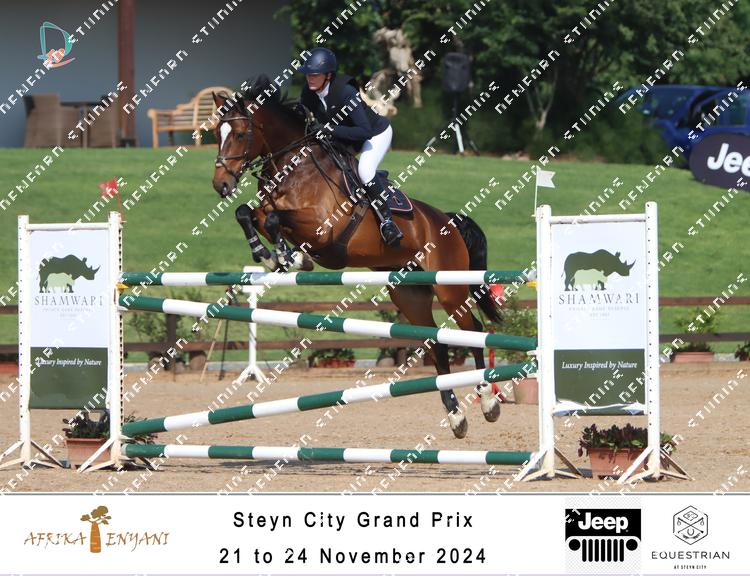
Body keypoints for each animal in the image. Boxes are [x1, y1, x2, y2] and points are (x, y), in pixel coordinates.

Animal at [210, 76, 502, 439]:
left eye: (238, 134)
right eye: (216, 133)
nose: (220, 184)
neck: (294, 164)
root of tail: (448, 221)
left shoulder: (322, 228)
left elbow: (276, 219)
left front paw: (291, 258)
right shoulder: (269, 212)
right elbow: (249, 213)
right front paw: (269, 255)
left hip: (450, 287)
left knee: (472, 329)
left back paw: (488, 402)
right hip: (409, 293)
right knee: (436, 343)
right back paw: (456, 416)